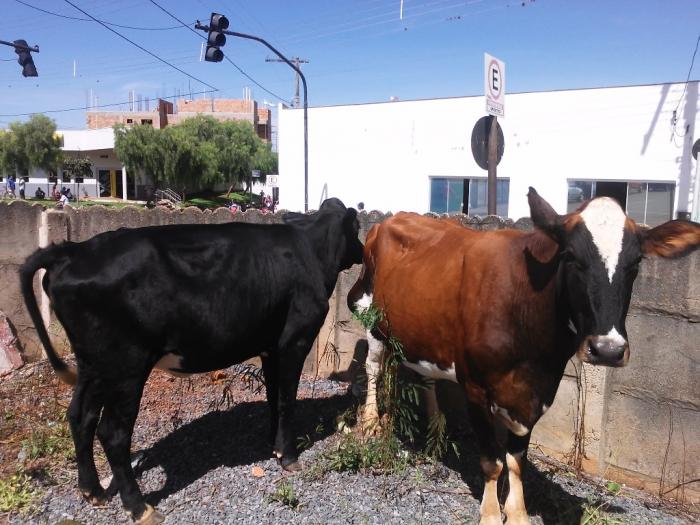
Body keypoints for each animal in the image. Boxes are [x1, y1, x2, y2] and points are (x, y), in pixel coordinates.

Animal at [20, 199, 360, 520]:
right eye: (357, 228)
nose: (360, 251)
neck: (310, 250)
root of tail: (74, 249)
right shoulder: (295, 340)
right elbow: (287, 399)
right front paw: (288, 456)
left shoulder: (270, 346)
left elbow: (273, 397)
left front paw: (273, 444)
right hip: (126, 366)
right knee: (113, 433)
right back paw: (138, 507)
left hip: (93, 364)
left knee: (81, 417)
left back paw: (94, 491)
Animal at [350, 188, 700, 524]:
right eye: (570, 256)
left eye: (636, 263)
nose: (608, 350)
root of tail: (390, 219)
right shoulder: (474, 386)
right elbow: (492, 461)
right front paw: (491, 514)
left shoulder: (538, 390)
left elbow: (516, 461)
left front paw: (517, 513)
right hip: (371, 315)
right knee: (374, 368)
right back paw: (370, 422)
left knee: (422, 376)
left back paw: (433, 429)